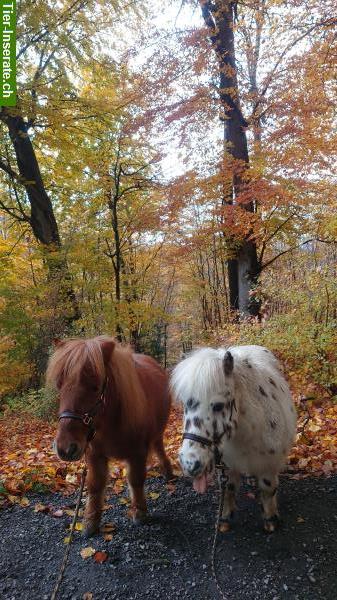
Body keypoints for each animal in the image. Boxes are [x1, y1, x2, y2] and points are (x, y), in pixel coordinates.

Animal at [46, 336, 172, 536]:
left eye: (95, 387)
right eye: (59, 385)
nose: (65, 448)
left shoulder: (138, 453)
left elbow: (136, 480)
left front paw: (140, 512)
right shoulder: (93, 454)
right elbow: (95, 485)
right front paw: (90, 521)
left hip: (158, 431)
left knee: (159, 447)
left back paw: (167, 471)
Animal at [172, 344, 296, 532]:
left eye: (218, 406)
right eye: (185, 405)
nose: (190, 464)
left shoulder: (268, 463)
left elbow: (268, 488)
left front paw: (270, 520)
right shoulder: (228, 464)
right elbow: (229, 488)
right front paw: (224, 519)